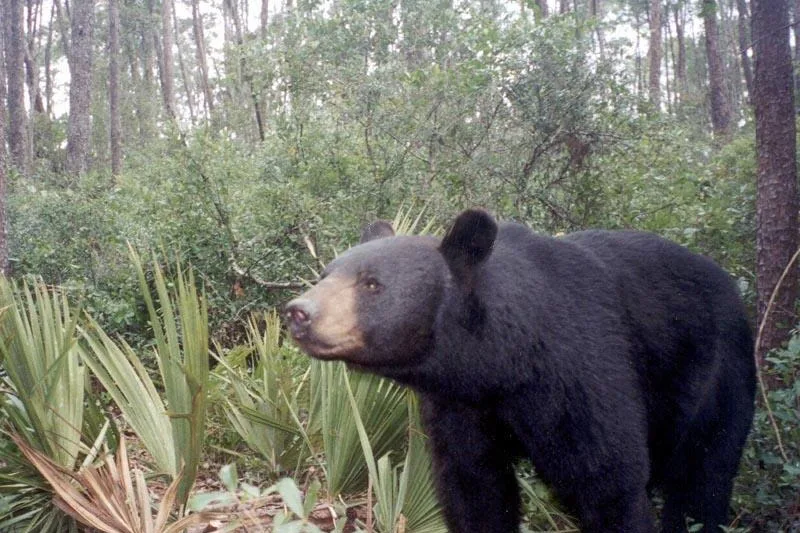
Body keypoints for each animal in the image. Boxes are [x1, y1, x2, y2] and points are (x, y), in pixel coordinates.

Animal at [285, 209, 756, 533]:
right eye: (325, 273)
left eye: (371, 283)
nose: (298, 312)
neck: (504, 364)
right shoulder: (460, 405)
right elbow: (474, 486)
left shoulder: (584, 371)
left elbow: (610, 480)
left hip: (717, 374)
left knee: (704, 477)